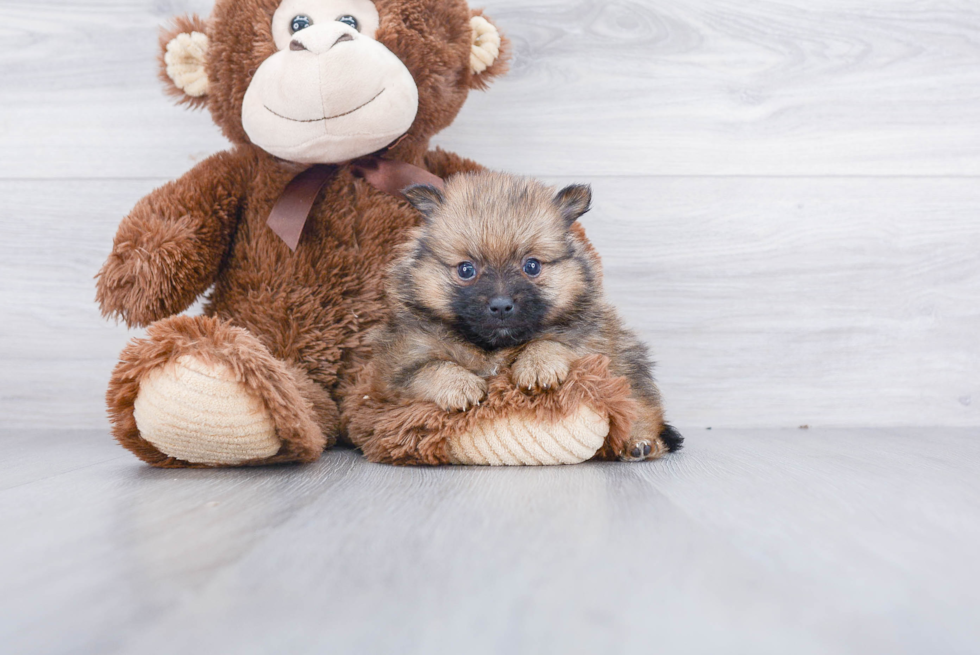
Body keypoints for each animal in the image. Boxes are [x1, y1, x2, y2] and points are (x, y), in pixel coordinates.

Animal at [372, 172, 684, 464]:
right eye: (466, 270)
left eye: (531, 266)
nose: (501, 306)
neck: (494, 347)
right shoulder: (396, 370)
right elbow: (433, 366)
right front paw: (460, 386)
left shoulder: (591, 347)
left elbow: (551, 342)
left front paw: (537, 365)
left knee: (641, 408)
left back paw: (640, 443)